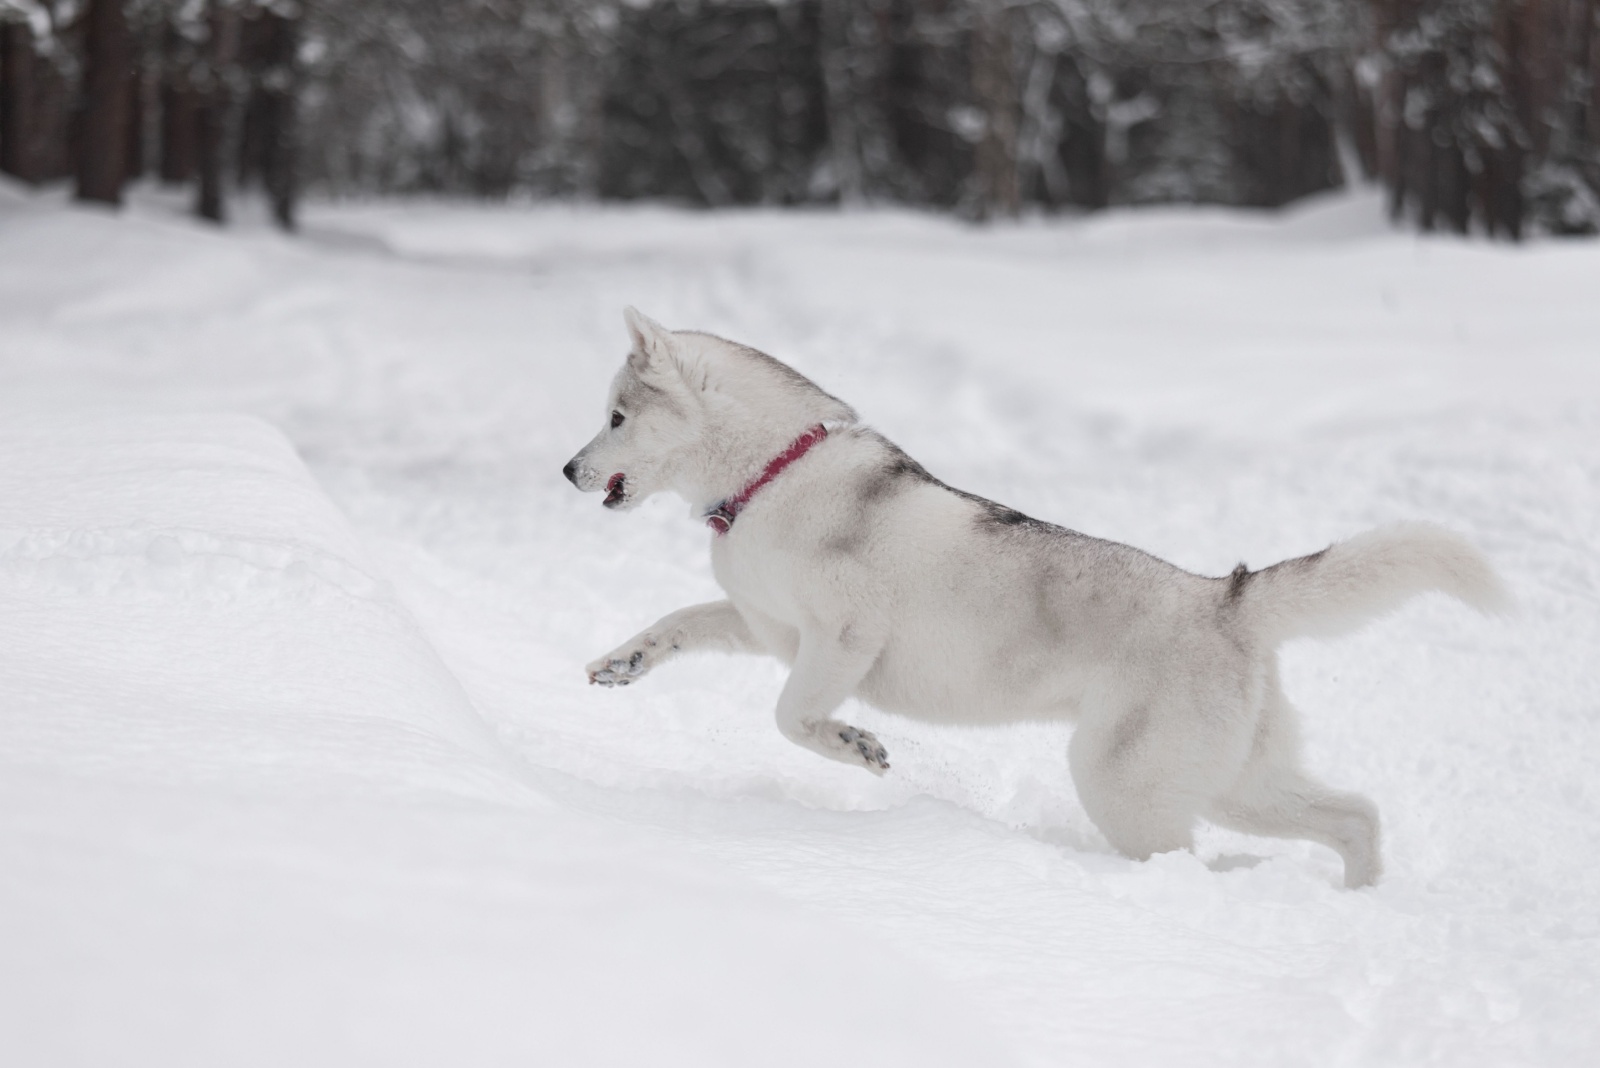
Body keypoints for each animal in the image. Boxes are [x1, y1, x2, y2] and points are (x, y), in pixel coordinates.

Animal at [566, 306, 1510, 882]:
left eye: (616, 416)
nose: (569, 471)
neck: (770, 473)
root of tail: (1226, 599)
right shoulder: (765, 628)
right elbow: (677, 623)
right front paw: (619, 664)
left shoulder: (839, 641)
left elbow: (792, 720)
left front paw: (858, 747)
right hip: (1234, 783)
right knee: (1356, 815)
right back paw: (1356, 895)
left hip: (1125, 786)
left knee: (1196, 860)